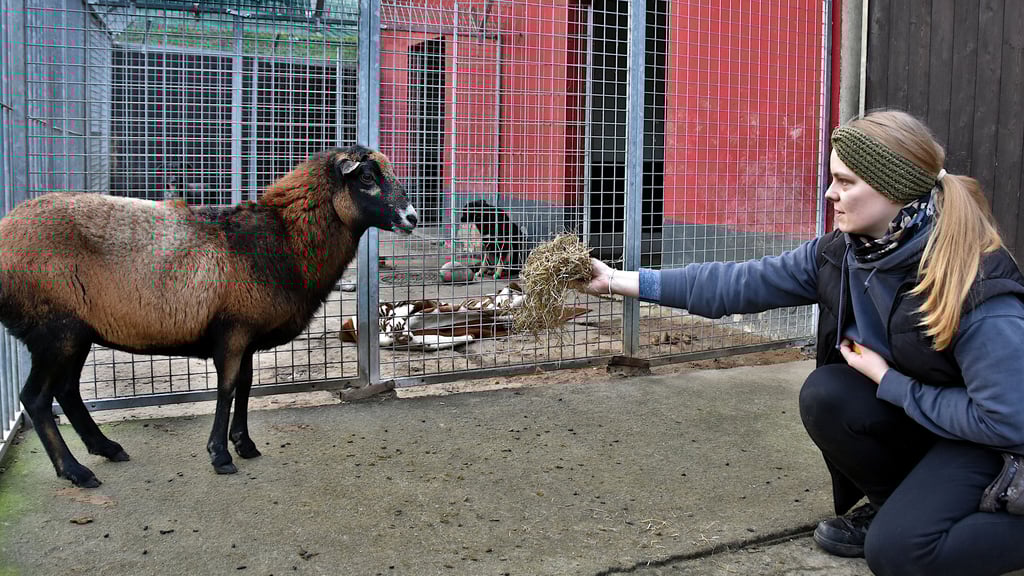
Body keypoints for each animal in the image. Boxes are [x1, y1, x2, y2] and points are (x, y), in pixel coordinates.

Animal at [0, 145, 418, 488]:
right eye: (367, 177)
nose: (412, 217)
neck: (282, 239)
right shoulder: (232, 331)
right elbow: (227, 388)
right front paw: (220, 455)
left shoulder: (248, 334)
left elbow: (246, 387)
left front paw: (245, 444)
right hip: (54, 330)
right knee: (36, 398)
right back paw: (75, 471)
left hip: (76, 333)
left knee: (67, 392)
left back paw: (107, 448)